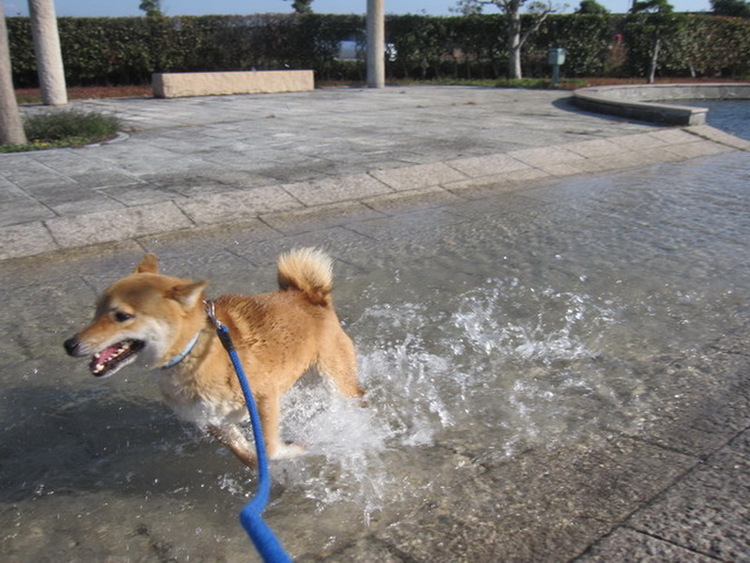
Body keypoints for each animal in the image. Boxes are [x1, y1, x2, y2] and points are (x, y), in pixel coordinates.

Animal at [64, 248, 364, 468]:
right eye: (96, 311)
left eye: (122, 316)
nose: (69, 344)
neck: (194, 355)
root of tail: (310, 296)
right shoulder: (211, 420)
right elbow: (246, 455)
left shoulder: (263, 398)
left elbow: (270, 448)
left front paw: (295, 451)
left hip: (335, 376)